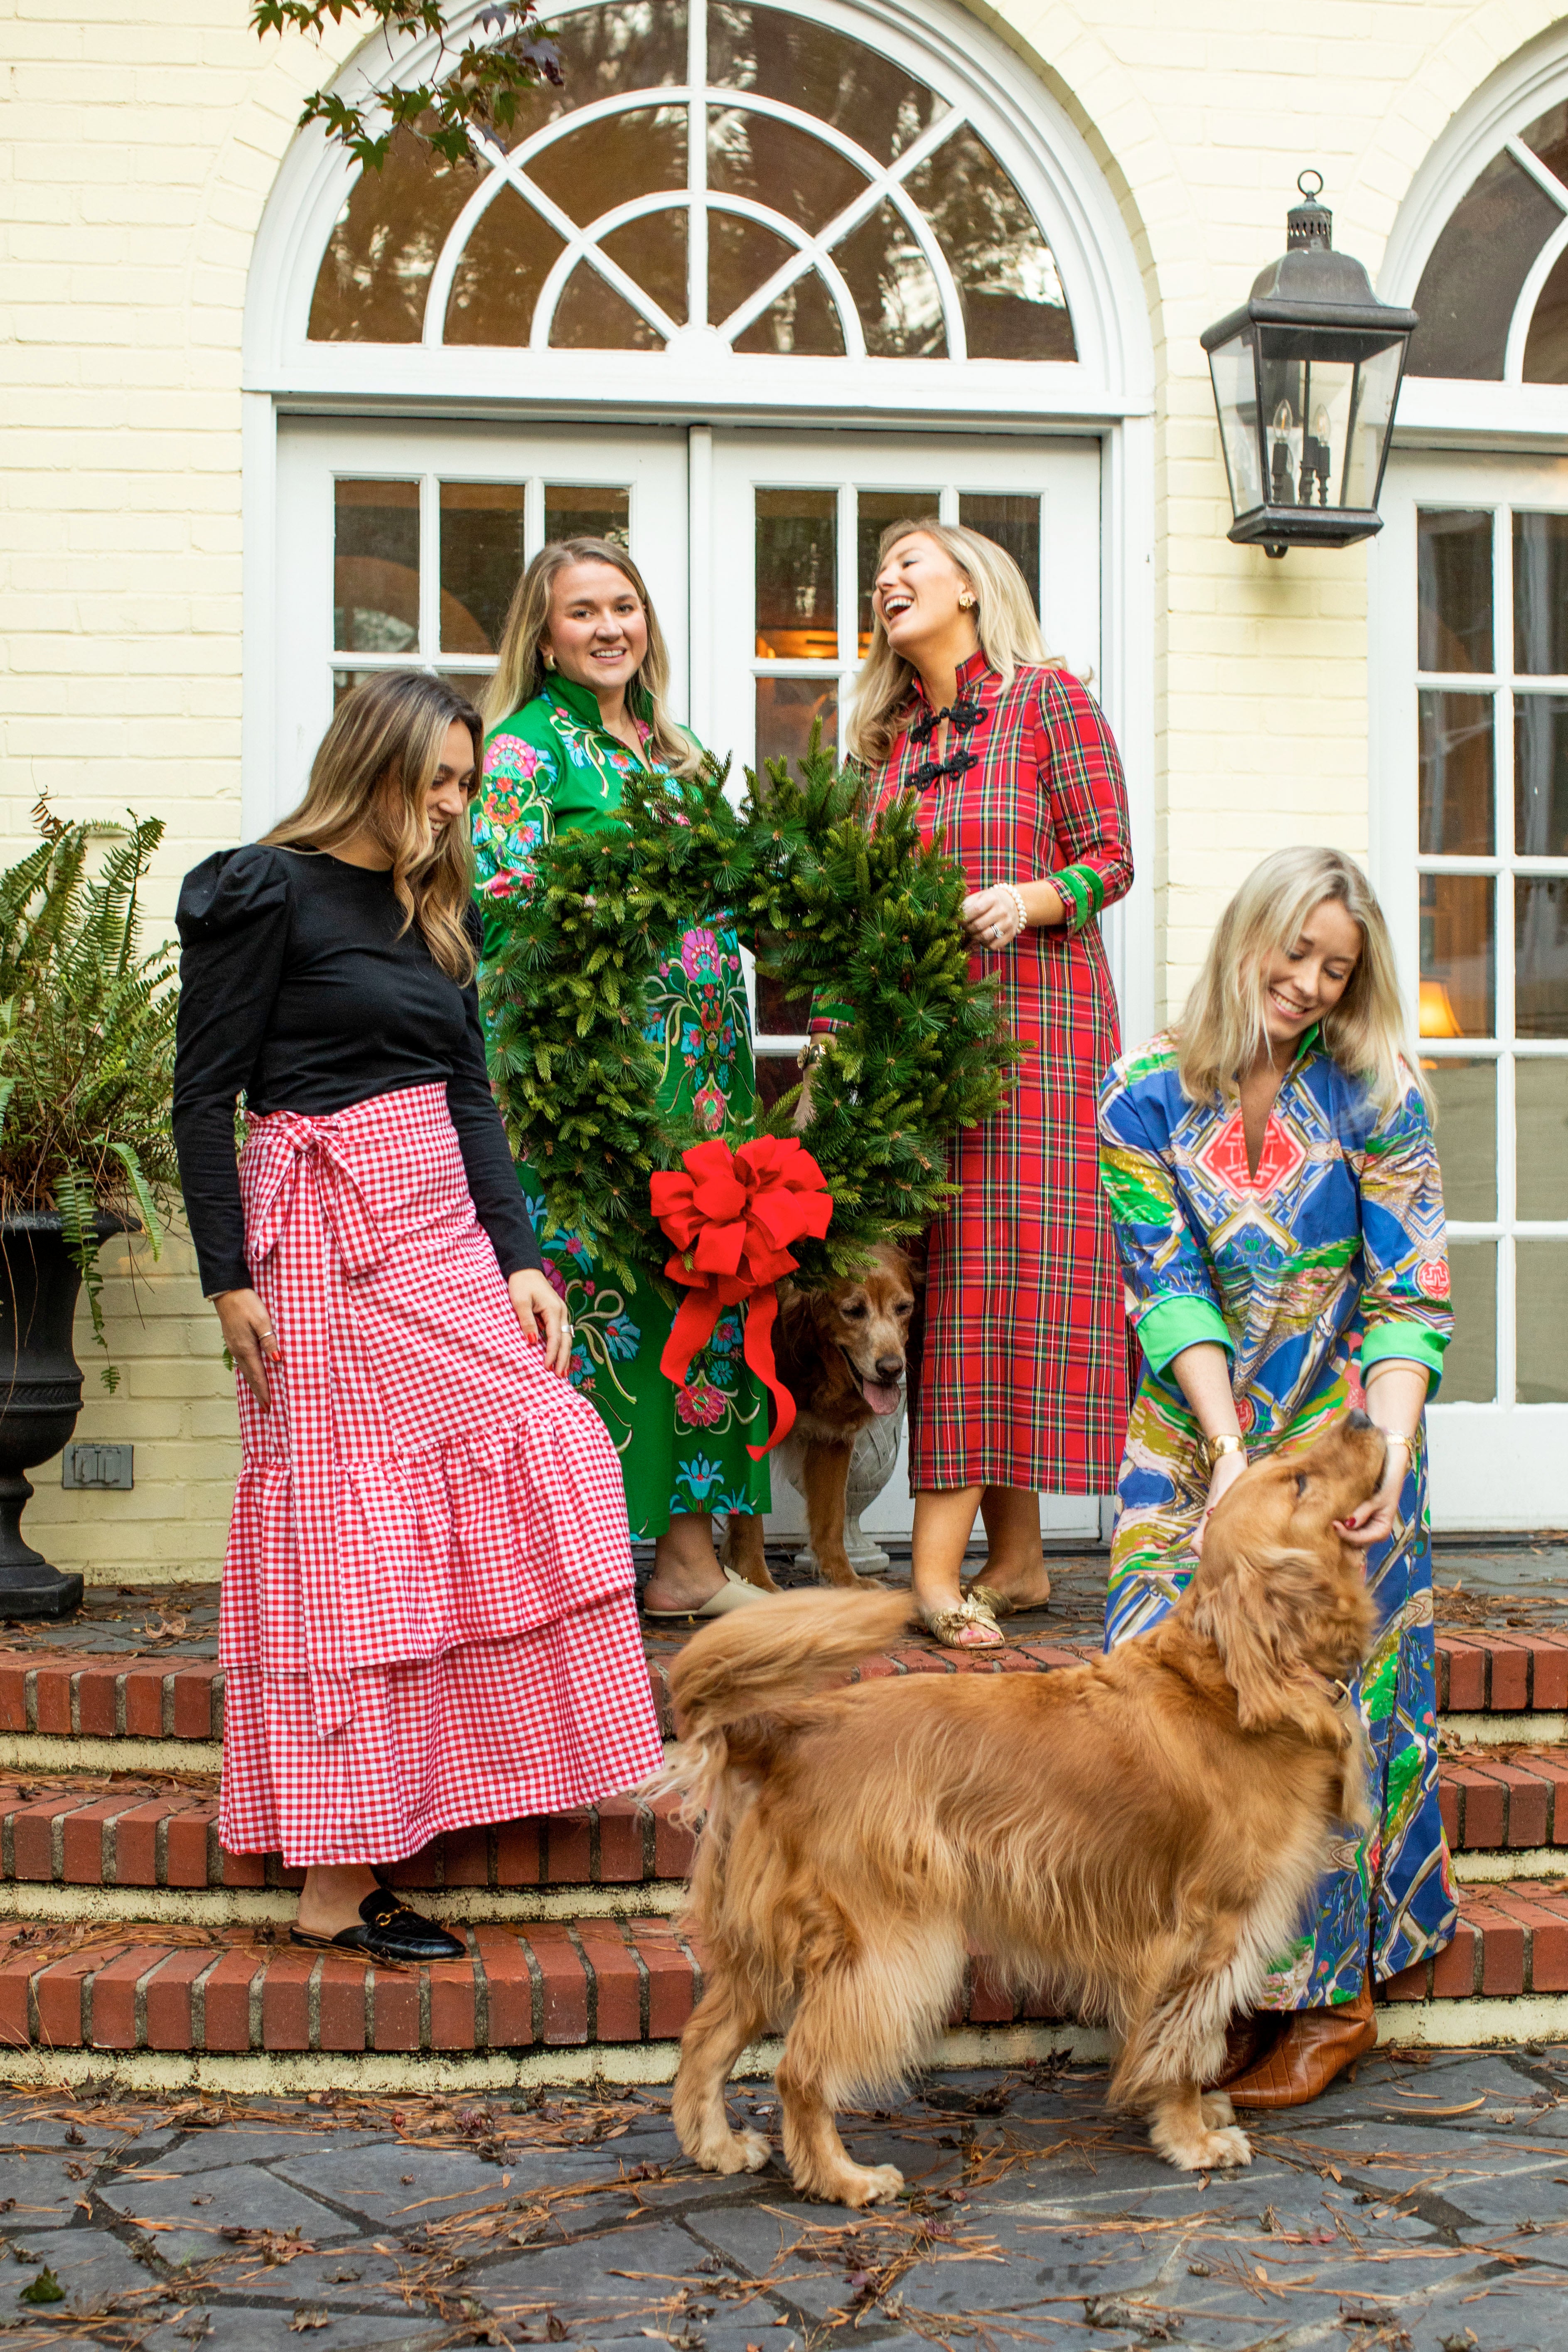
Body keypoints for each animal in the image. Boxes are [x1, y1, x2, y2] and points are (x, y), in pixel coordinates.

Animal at [663, 1411, 1382, 2201]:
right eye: (1299, 1481)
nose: (1362, 1415)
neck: (1226, 1678)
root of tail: (787, 1730)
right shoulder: (1202, 1933)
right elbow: (1184, 2043)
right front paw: (1190, 2134)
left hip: (762, 1944)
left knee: (703, 2039)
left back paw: (717, 2146)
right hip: (890, 1946)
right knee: (799, 2069)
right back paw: (843, 2178)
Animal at [724, 1242, 922, 1590]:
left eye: (903, 1307)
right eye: (854, 1311)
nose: (891, 1369)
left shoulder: (831, 1436)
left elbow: (831, 1519)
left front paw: (847, 1580)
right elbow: (750, 1522)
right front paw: (757, 1583)